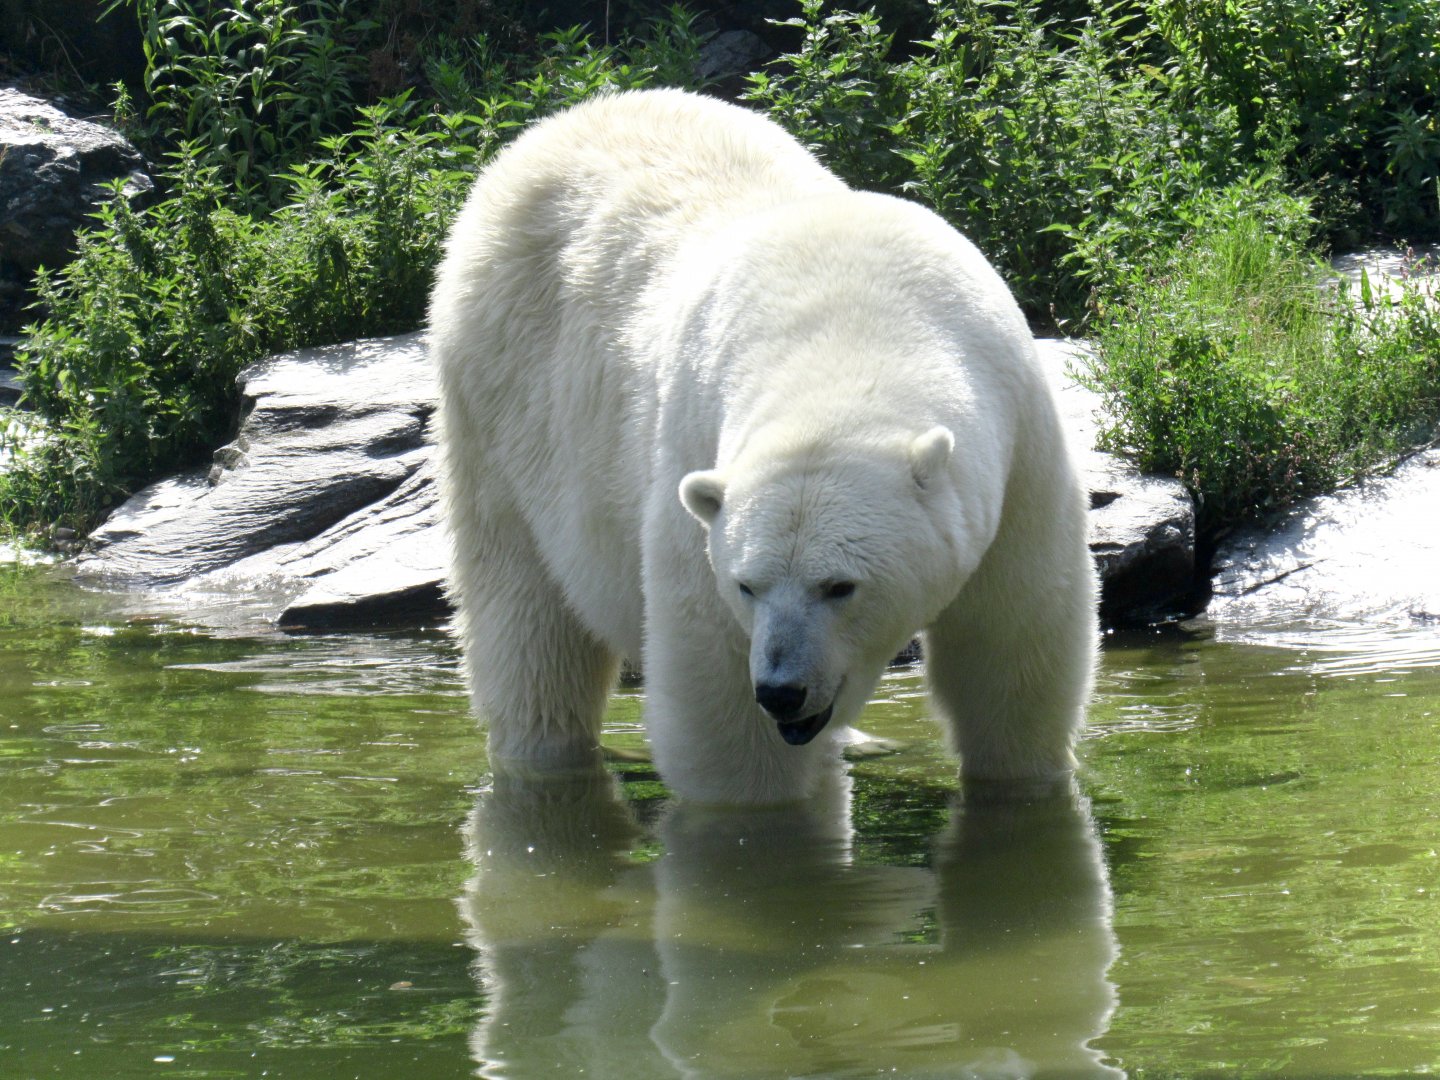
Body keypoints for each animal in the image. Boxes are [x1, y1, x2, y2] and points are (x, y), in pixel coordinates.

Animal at [429, 88, 1098, 805]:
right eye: (747, 585)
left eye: (841, 586)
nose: (782, 691)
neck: (853, 328)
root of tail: (545, 133)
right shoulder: (696, 466)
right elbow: (718, 692)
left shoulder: (1017, 444)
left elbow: (1010, 639)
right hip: (501, 397)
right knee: (527, 614)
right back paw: (544, 748)